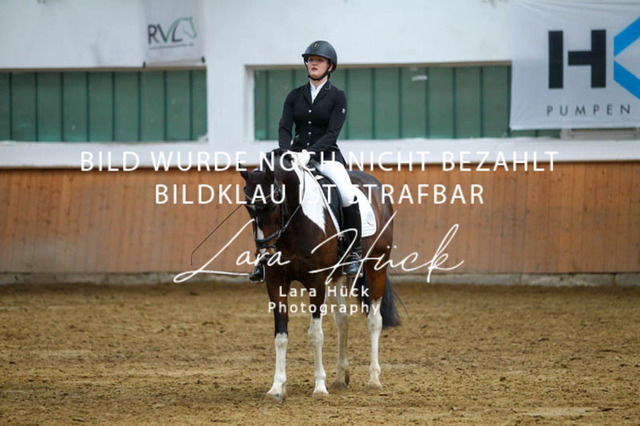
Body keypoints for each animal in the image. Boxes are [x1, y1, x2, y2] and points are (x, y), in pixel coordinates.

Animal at [240, 151, 399, 403]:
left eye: (274, 201)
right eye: (248, 206)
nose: (265, 253)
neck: (294, 224)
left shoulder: (316, 283)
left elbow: (315, 335)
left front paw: (319, 387)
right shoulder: (276, 282)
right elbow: (280, 336)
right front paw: (276, 388)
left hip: (377, 265)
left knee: (374, 320)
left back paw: (374, 380)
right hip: (335, 276)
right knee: (342, 319)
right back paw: (340, 377)